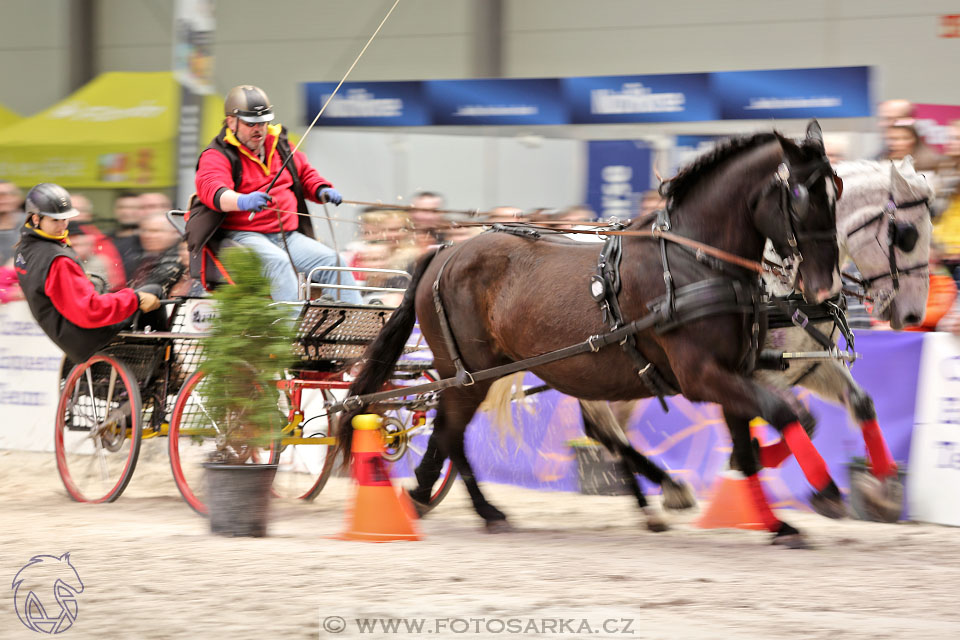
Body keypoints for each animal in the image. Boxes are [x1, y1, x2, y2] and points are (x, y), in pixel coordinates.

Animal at [336, 122, 840, 548]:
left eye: (836, 189)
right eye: (799, 193)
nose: (827, 286)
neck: (692, 262)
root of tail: (443, 252)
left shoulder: (732, 371)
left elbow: (772, 431)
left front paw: (778, 522)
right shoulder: (701, 376)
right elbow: (781, 412)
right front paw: (827, 492)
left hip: (491, 372)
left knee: (451, 432)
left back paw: (424, 495)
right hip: (469, 373)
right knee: (451, 432)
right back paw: (484, 510)